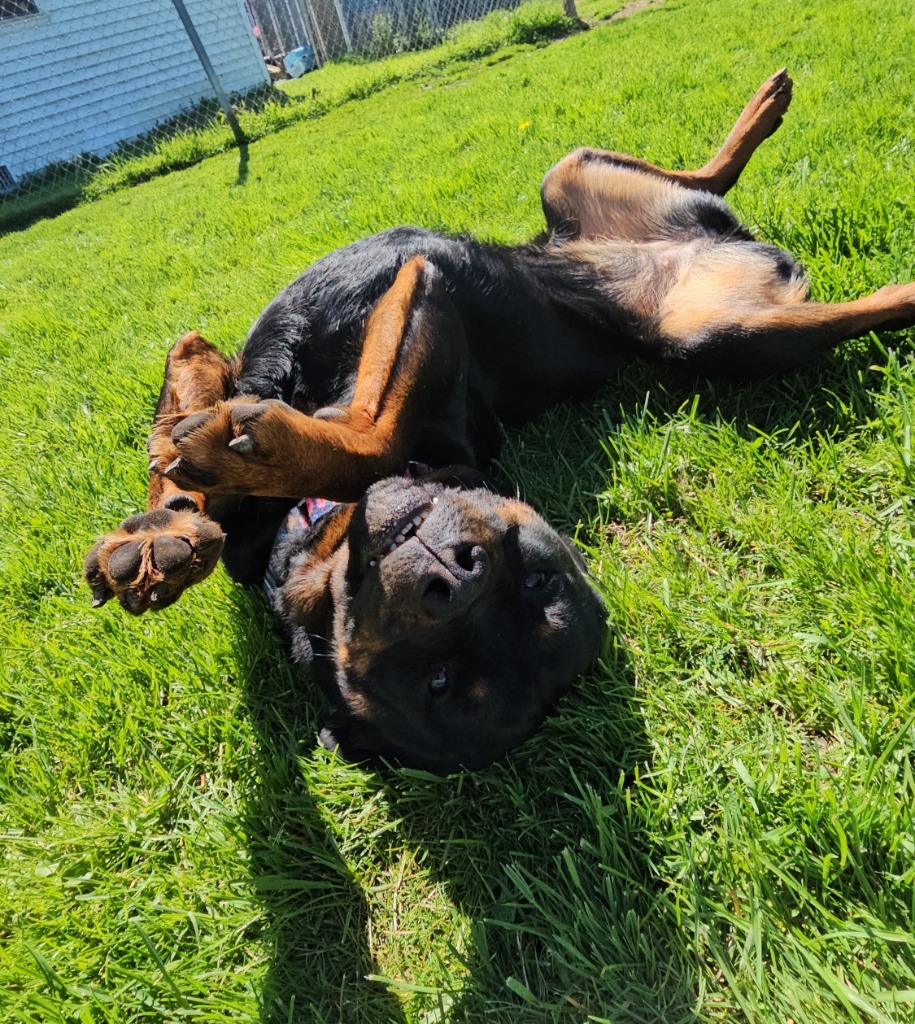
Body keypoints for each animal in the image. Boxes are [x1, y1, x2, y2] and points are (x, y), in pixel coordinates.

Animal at [83, 70, 915, 770]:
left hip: (599, 210)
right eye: (440, 681)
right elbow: (192, 415)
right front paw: (168, 533)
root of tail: (708, 245)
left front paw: (191, 506)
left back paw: (763, 111)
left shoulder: (421, 294)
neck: (301, 527)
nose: (456, 574)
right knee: (820, 265)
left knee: (713, 186)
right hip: (707, 323)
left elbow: (354, 434)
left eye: (533, 574)